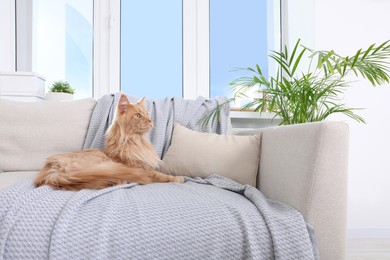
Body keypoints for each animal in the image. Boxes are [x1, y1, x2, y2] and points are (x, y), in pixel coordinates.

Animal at [34, 94, 184, 190]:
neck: (136, 142)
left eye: (148, 114)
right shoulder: (139, 169)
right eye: (138, 115)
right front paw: (178, 178)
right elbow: (160, 175)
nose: (150, 121)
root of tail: (51, 167)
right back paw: (118, 181)